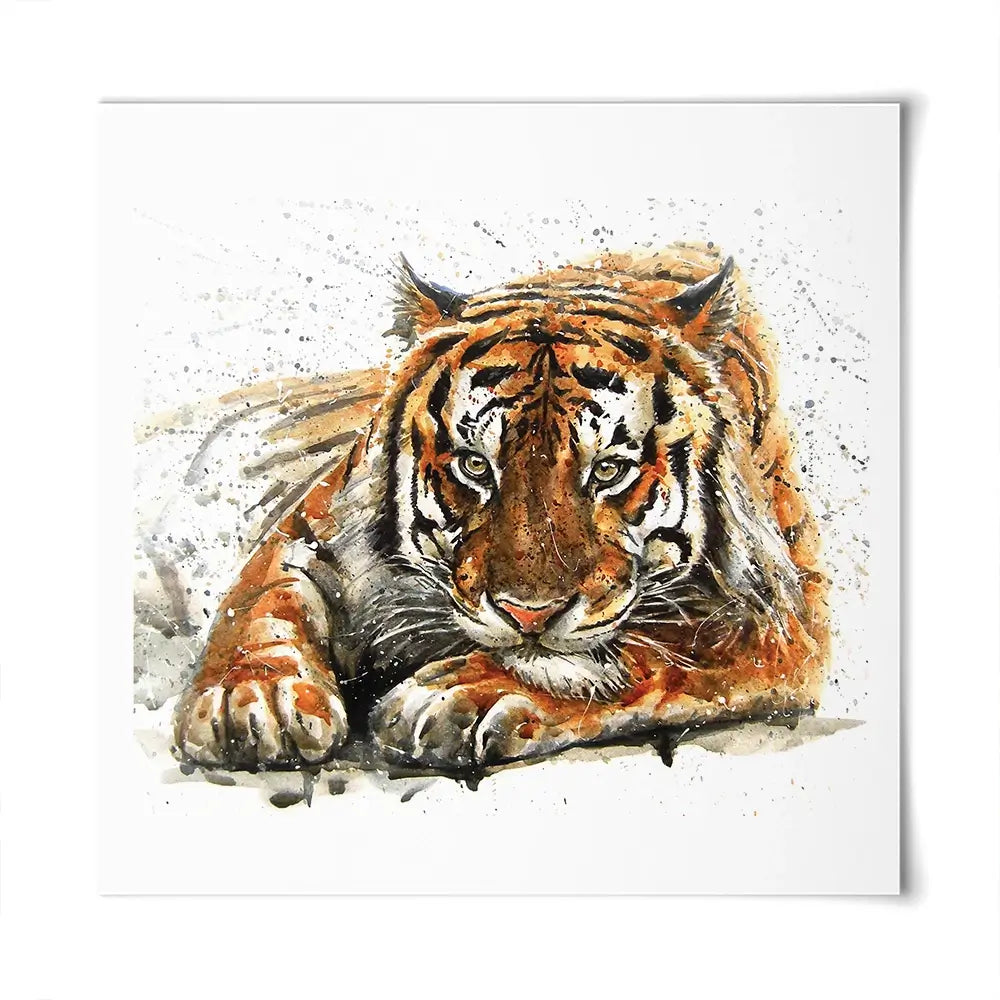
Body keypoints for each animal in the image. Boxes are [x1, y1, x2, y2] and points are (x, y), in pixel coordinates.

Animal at [171, 240, 830, 774]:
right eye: (474, 466)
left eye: (609, 471)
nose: (528, 615)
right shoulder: (314, 523)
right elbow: (262, 600)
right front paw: (251, 698)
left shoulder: (779, 617)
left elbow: (646, 652)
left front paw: (461, 694)